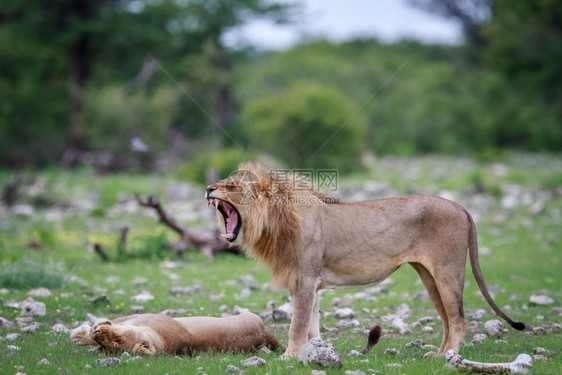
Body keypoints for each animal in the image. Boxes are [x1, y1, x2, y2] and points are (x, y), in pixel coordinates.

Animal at [207, 162, 524, 358]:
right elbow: (312, 324)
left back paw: (450, 356)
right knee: (447, 319)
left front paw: (290, 355)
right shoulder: (309, 283)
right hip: (429, 275)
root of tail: (460, 206)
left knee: (458, 319)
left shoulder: (306, 279)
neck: (276, 220)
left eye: (231, 186)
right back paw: (438, 353)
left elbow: (297, 323)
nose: (209, 189)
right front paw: (313, 352)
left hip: (448, 271)